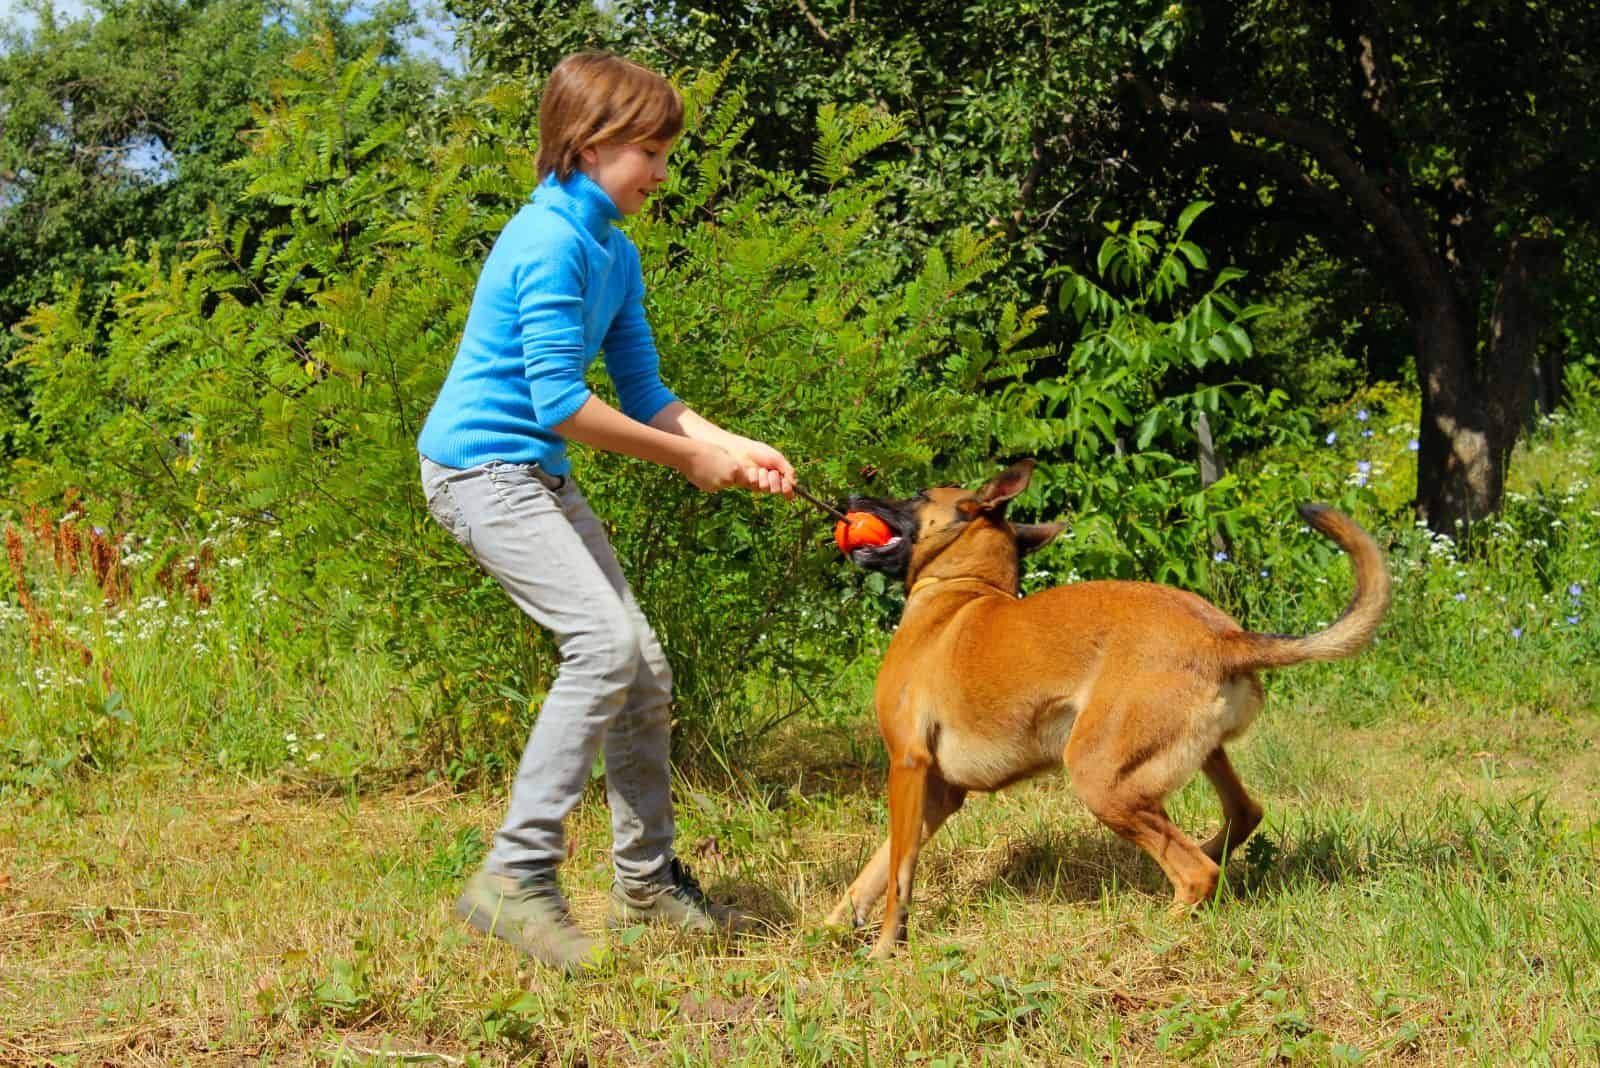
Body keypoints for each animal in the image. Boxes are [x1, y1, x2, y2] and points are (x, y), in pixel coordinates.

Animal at [825, 460, 1388, 959]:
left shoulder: (908, 765)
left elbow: (898, 872)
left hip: (1099, 777)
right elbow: (875, 868)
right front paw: (833, 926)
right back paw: (1204, 859)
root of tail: (1222, 638)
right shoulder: (939, 792)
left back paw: (1153, 931)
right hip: (1184, 758)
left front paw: (883, 947)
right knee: (1240, 816)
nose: (848, 498)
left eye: (918, 495)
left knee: (1195, 873)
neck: (960, 588)